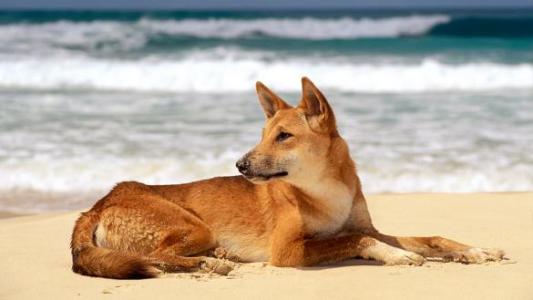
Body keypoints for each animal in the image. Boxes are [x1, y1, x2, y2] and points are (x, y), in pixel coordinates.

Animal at [70, 77, 502, 278]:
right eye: (263, 134)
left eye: (283, 136)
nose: (240, 165)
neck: (326, 193)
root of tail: (97, 204)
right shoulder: (288, 251)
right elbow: (356, 240)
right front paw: (397, 256)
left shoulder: (368, 227)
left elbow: (430, 237)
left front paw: (473, 250)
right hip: (193, 226)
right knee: (153, 256)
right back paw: (210, 264)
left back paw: (217, 257)